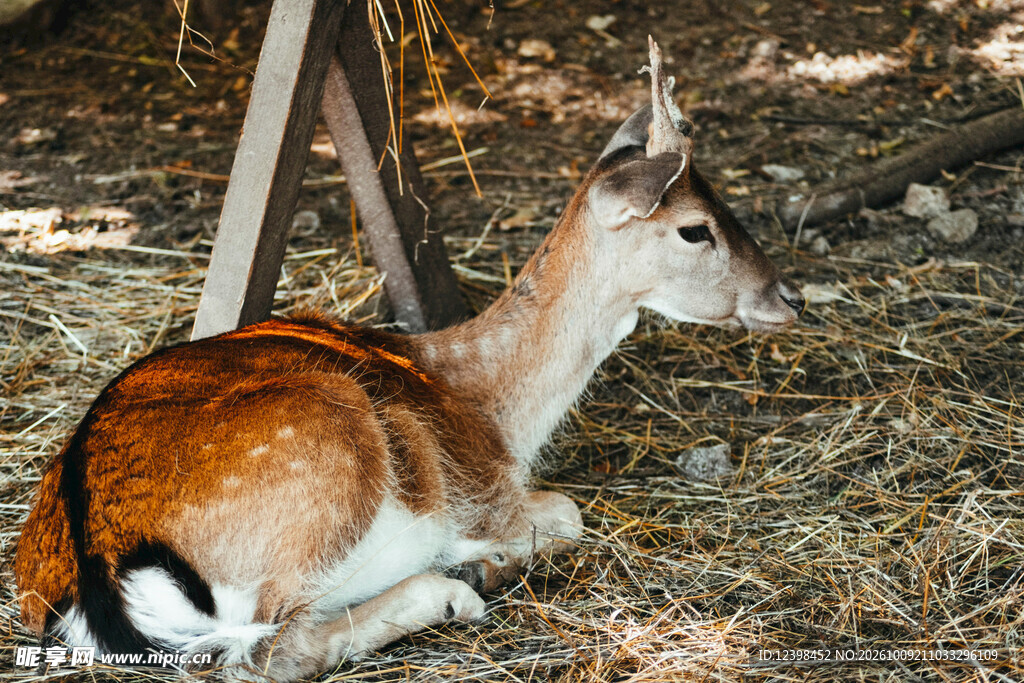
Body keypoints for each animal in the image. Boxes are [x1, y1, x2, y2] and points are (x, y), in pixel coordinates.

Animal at [15, 39, 804, 681]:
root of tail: (99, 581)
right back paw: (457, 586)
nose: (789, 296)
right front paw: (487, 559)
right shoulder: (488, 493)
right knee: (268, 652)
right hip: (327, 457)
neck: (495, 408)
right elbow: (568, 511)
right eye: (695, 228)